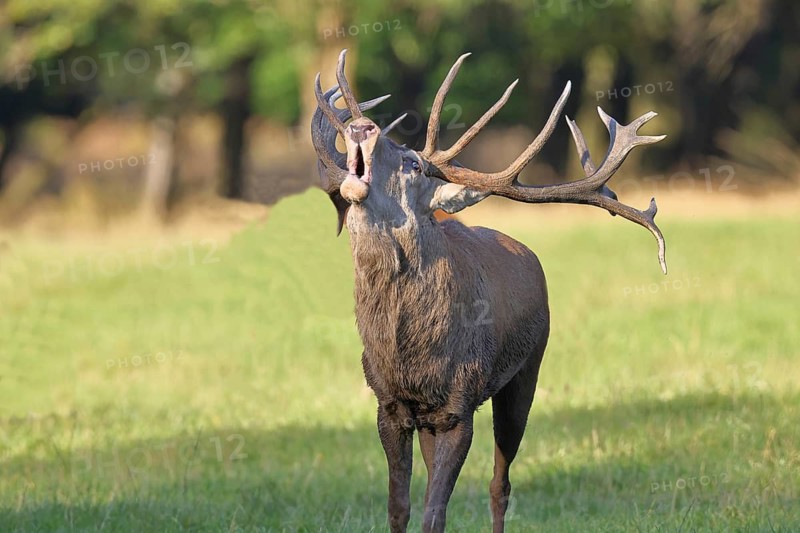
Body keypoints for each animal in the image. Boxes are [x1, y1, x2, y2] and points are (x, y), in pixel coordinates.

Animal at [310, 50, 667, 533]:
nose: (362, 126)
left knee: (501, 483)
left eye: (414, 165)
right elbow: (399, 508)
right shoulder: (389, 405)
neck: (408, 352)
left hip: (527, 370)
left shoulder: (460, 404)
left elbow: (435, 514)